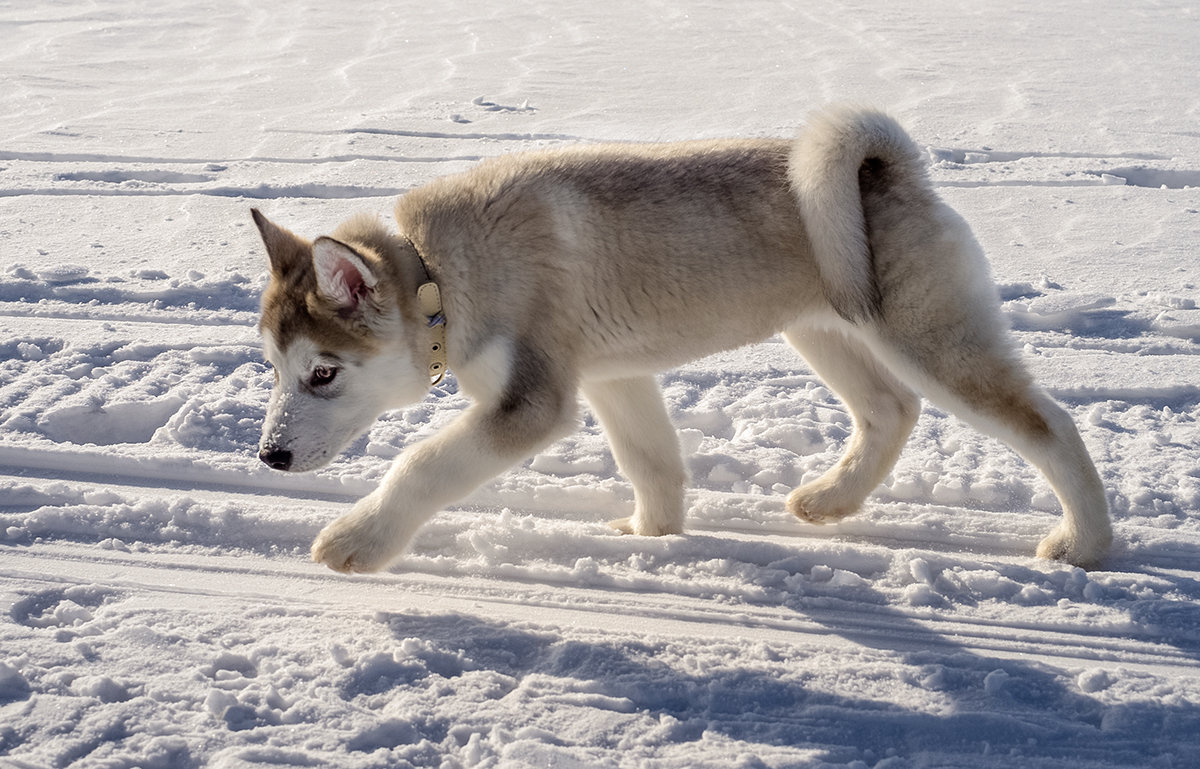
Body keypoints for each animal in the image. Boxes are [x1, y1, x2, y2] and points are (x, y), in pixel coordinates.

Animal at [253, 104, 1113, 571]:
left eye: (323, 374)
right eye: (274, 368)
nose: (269, 457)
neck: (439, 272)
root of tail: (889, 168)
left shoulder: (532, 401)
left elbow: (423, 464)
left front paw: (356, 540)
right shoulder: (613, 377)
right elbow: (653, 462)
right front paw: (652, 536)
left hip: (929, 338)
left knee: (1048, 424)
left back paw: (1086, 542)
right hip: (824, 327)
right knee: (890, 410)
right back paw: (831, 498)